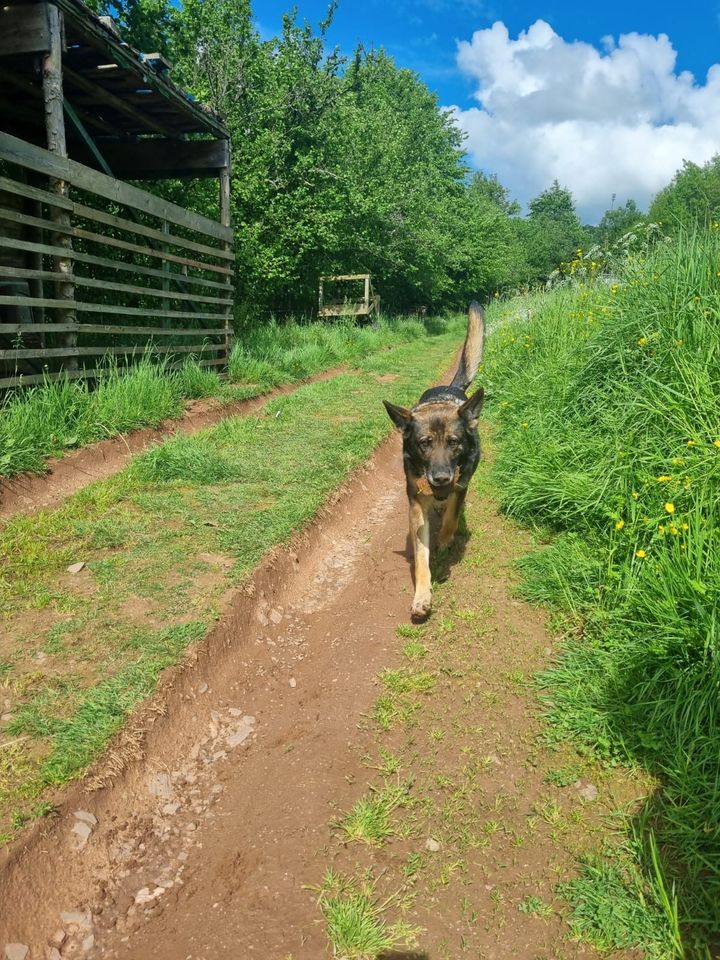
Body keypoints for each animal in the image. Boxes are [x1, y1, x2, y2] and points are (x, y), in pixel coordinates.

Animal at [382, 308, 484, 624]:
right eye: (424, 443)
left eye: (454, 442)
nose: (440, 478)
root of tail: (449, 387)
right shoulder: (416, 505)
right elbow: (420, 559)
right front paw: (422, 597)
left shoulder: (461, 485)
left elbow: (451, 517)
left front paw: (444, 540)